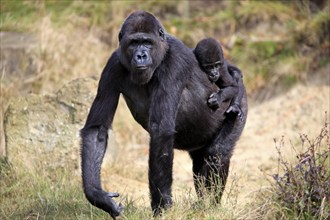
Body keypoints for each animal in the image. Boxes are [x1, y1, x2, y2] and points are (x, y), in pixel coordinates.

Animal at [80, 9, 248, 218]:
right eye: (133, 43)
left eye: (147, 42)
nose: (141, 55)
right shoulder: (113, 65)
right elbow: (97, 129)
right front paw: (98, 196)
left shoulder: (174, 63)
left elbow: (161, 131)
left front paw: (162, 206)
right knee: (200, 162)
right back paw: (203, 204)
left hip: (239, 102)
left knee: (218, 153)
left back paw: (211, 206)